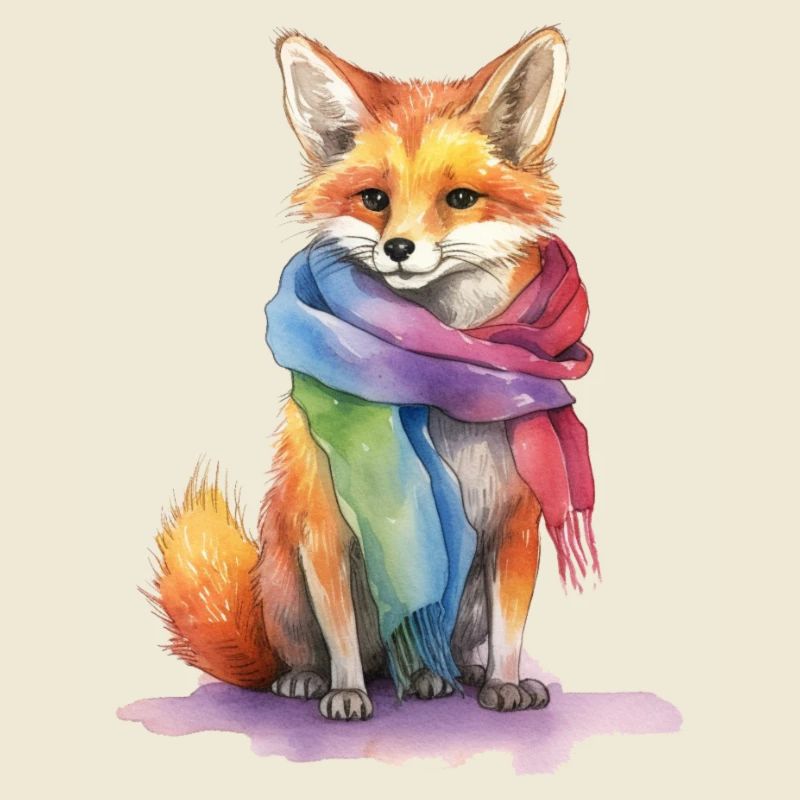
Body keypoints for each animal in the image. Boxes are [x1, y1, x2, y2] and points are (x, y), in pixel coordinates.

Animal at [152, 27, 573, 721]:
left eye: (460, 199)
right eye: (375, 199)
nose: (398, 249)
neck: (434, 381)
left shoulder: (515, 526)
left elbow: (511, 630)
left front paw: (505, 682)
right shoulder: (327, 533)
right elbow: (341, 633)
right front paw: (345, 692)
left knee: (430, 648)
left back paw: (442, 674)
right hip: (286, 581)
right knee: (309, 653)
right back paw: (312, 680)